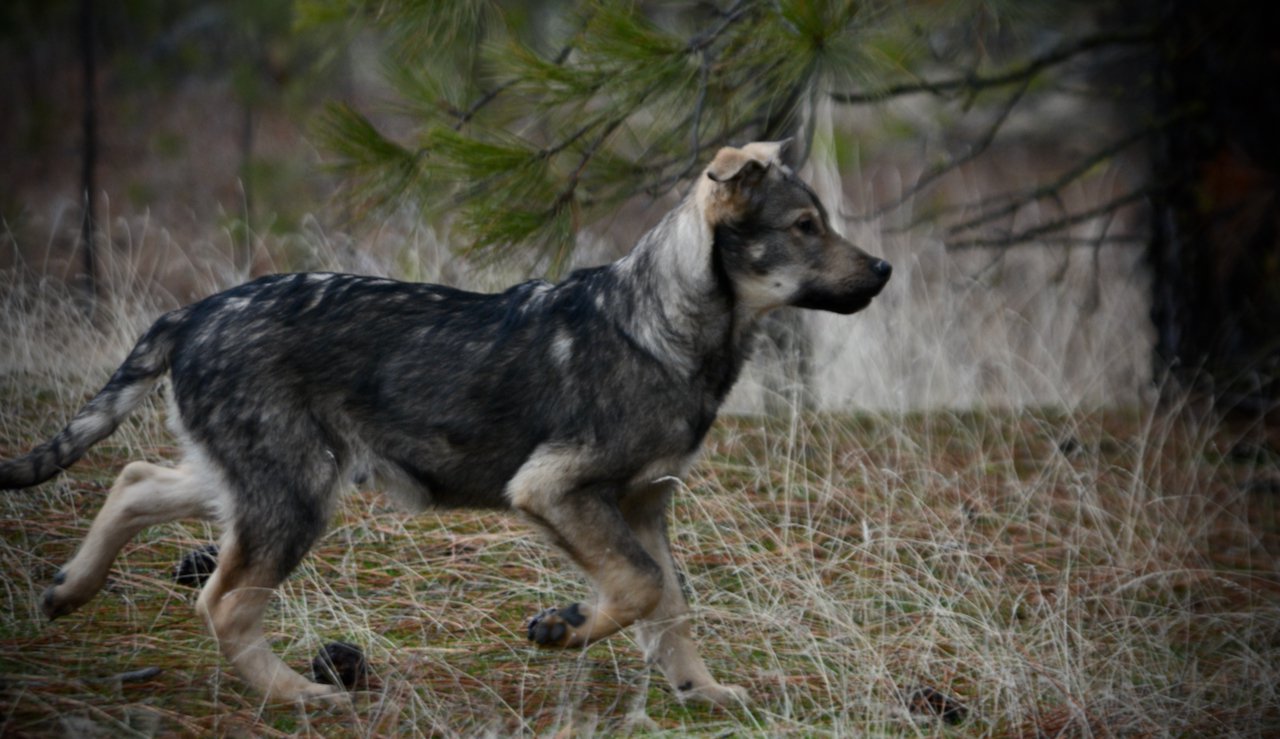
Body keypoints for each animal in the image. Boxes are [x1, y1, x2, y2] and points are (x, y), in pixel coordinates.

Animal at [0, 142, 890, 701]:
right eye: (804, 227)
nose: (884, 269)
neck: (662, 323)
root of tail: (189, 314)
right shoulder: (555, 487)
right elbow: (638, 586)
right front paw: (564, 627)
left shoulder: (645, 501)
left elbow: (669, 605)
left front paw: (699, 690)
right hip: (293, 492)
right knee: (221, 602)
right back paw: (300, 696)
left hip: (256, 478)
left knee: (134, 478)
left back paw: (70, 589)